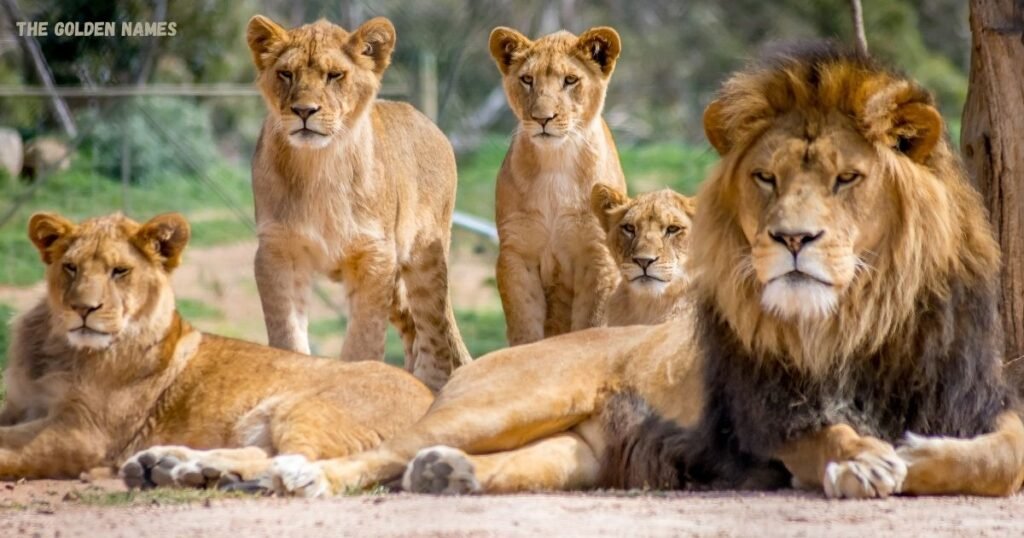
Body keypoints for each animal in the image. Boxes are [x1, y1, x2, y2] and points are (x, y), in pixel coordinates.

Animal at [0, 212, 432, 485]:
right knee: (265, 453)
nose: (83, 309)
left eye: (119, 271)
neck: (60, 348)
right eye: (70, 267)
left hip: (307, 408)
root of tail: (431, 396)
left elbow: (8, 447)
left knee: (294, 459)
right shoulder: (20, 405)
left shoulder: (83, 432)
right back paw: (172, 466)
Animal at [247, 15, 470, 391]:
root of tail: (430, 124)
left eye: (334, 75)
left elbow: (363, 340)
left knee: (434, 334)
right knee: (413, 330)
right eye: (286, 74)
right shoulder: (277, 251)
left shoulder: (374, 255)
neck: (318, 166)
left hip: (424, 257)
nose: (304, 111)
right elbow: (287, 334)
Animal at [489, 26, 627, 345]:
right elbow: (525, 326)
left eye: (570, 80)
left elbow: (591, 323)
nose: (543, 118)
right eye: (527, 79)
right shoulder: (517, 253)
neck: (556, 161)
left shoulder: (597, 255)